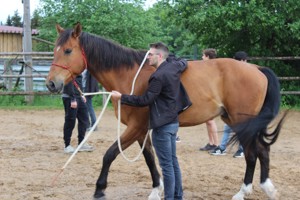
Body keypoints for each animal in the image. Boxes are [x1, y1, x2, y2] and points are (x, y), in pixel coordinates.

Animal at [45, 22, 288, 199]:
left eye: (68, 50)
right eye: (54, 51)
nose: (51, 84)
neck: (130, 75)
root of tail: (256, 68)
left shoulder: (136, 128)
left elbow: (110, 154)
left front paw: (99, 189)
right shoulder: (142, 130)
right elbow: (150, 158)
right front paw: (157, 189)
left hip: (242, 121)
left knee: (252, 153)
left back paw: (244, 191)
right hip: (236, 120)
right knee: (261, 151)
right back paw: (265, 188)